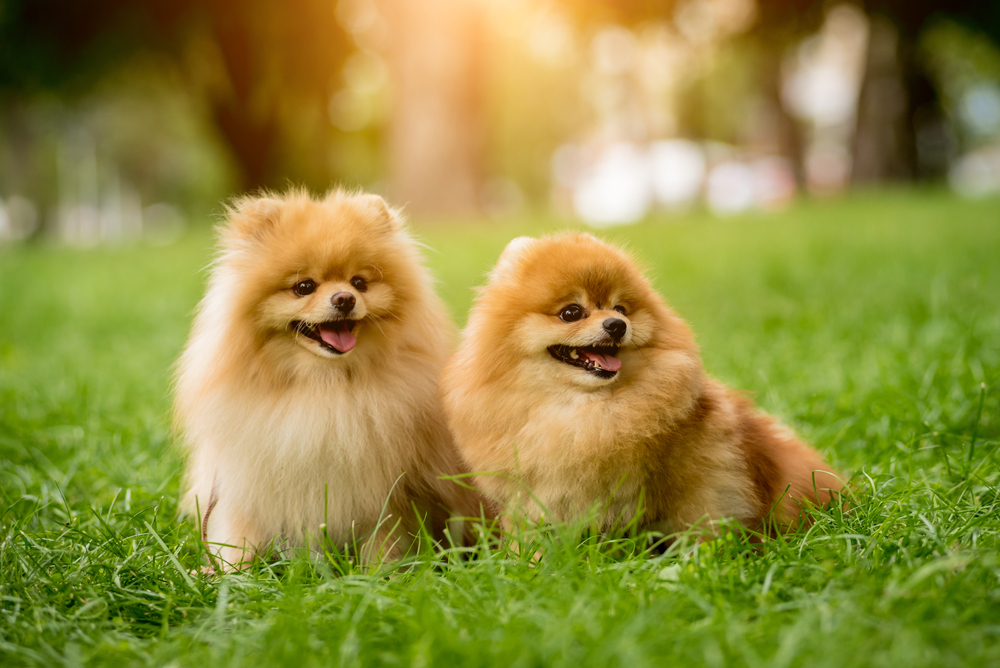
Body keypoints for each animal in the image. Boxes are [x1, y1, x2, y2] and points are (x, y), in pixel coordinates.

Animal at [175, 189, 484, 568]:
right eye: (304, 287)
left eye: (359, 283)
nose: (345, 298)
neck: (325, 386)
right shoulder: (244, 485)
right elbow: (239, 540)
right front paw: (234, 573)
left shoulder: (385, 494)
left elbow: (383, 541)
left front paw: (380, 574)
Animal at [442, 232, 840, 540]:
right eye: (571, 312)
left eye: (620, 308)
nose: (617, 325)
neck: (581, 411)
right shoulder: (529, 496)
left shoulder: (701, 476)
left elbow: (699, 522)